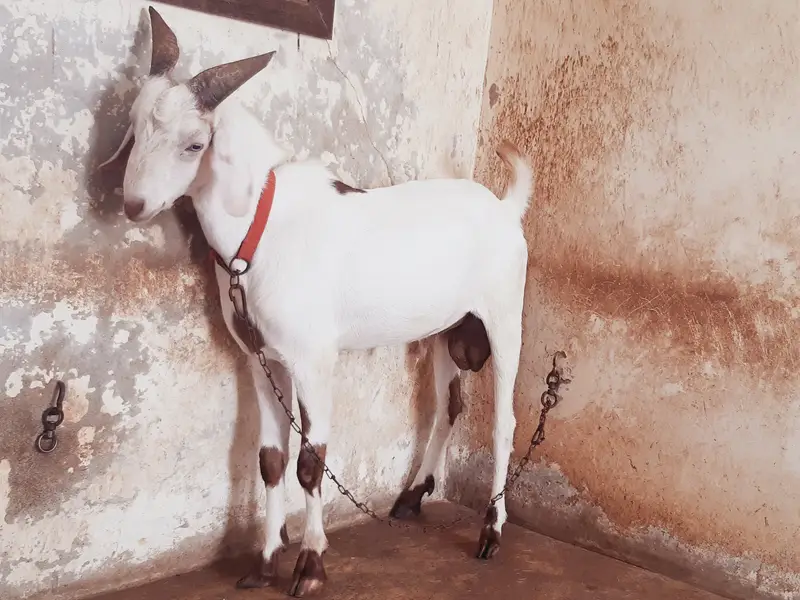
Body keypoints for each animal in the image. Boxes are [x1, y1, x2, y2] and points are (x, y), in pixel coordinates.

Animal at [102, 7, 534, 597]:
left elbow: (311, 461)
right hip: (445, 329)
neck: (259, 227)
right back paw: (411, 496)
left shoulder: (312, 360)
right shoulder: (261, 358)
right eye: (136, 122)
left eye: (195, 144)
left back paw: (491, 531)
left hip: (503, 315)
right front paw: (264, 560)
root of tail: (505, 207)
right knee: (450, 405)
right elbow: (271, 458)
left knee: (503, 422)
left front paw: (310, 565)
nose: (135, 204)